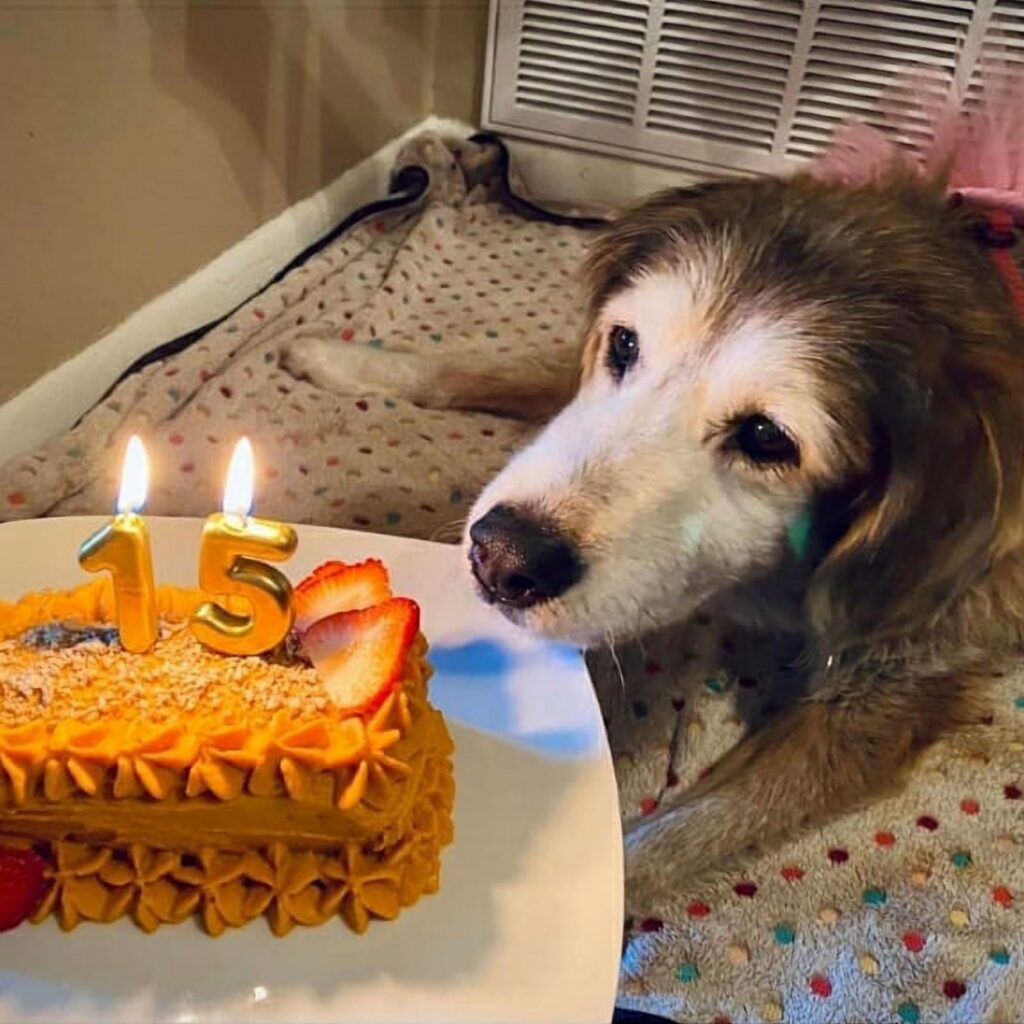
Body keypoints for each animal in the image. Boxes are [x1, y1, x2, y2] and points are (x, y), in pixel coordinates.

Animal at [284, 79, 1024, 913]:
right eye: (624, 344)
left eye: (767, 438)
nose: (499, 557)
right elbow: (493, 369)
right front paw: (343, 359)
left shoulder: (883, 692)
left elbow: (672, 837)